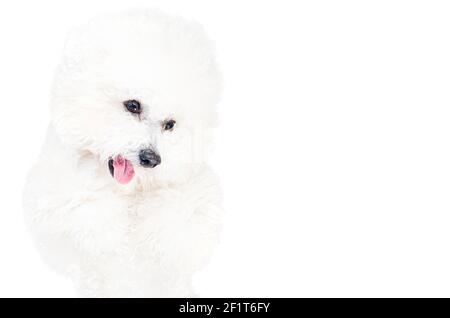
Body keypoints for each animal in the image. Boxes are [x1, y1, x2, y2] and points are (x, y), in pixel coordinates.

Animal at [22, 10, 223, 298]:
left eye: (170, 124)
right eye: (133, 105)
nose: (152, 159)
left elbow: (185, 213)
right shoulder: (51, 197)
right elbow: (79, 202)